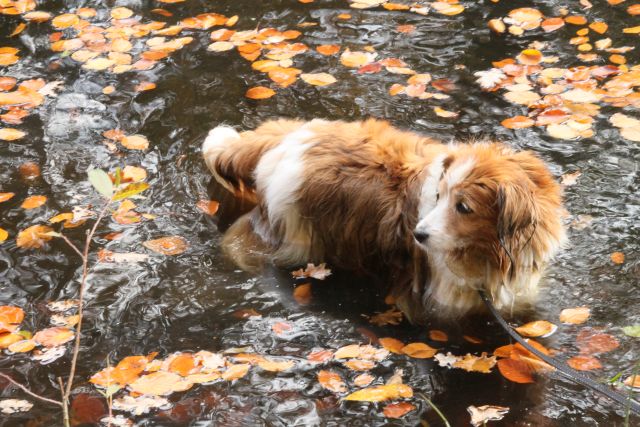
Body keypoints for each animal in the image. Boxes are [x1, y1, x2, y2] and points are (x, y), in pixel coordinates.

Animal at [202, 118, 568, 322]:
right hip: (290, 236)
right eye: (440, 196)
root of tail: (291, 137)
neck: (490, 255)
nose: (418, 235)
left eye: (463, 207)